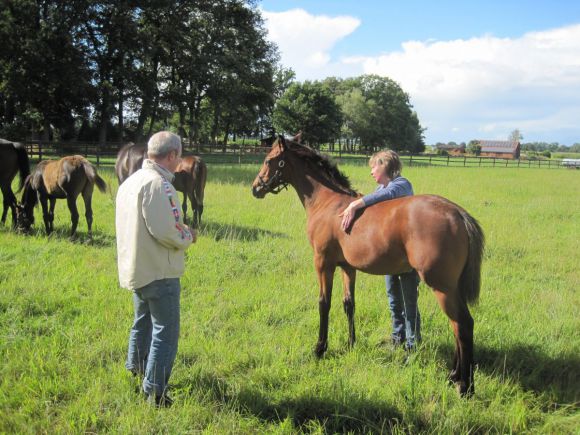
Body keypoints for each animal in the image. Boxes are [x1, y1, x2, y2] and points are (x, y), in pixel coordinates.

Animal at [251, 137, 482, 398]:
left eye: (269, 160)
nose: (255, 188)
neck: (328, 203)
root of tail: (458, 213)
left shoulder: (323, 263)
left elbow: (324, 303)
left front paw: (320, 348)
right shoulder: (347, 267)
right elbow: (348, 303)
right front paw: (351, 343)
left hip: (442, 287)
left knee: (463, 324)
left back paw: (464, 386)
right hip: (451, 288)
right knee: (457, 326)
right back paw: (453, 375)